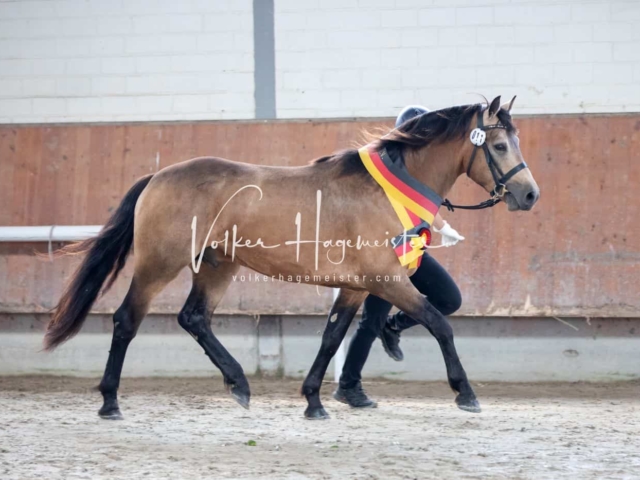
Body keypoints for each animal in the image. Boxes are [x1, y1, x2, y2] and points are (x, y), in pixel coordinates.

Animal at [42, 96, 536, 420]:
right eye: (499, 146)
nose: (529, 195)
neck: (385, 191)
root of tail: (158, 177)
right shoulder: (388, 280)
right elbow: (439, 323)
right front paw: (465, 393)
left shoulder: (356, 287)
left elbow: (332, 338)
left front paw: (314, 401)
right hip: (158, 264)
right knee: (127, 320)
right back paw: (110, 402)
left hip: (218, 265)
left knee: (194, 318)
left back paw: (239, 384)